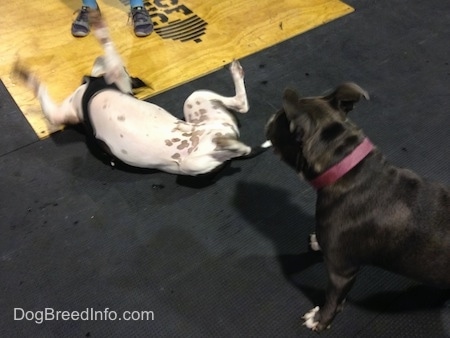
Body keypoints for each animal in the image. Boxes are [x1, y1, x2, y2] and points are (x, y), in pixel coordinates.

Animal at [266, 82, 448, 332]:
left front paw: (321, 319)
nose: (269, 119)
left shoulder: (341, 272)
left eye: (279, 121)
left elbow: (333, 300)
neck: (347, 169)